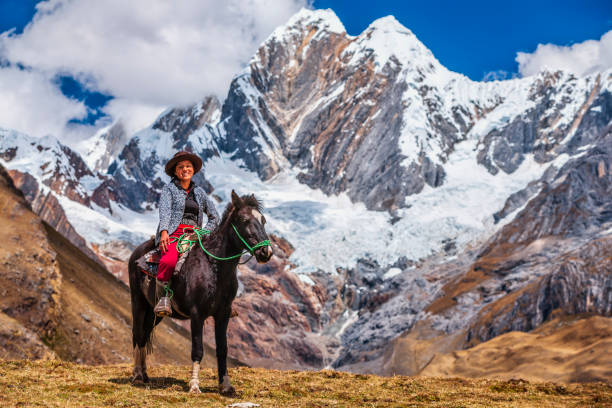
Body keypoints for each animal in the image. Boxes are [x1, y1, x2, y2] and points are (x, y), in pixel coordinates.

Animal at [127, 190, 272, 394]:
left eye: (263, 220)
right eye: (244, 219)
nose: (266, 252)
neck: (215, 268)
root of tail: (136, 254)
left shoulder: (223, 314)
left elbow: (222, 349)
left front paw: (226, 386)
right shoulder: (197, 314)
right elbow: (197, 349)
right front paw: (194, 385)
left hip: (154, 312)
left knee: (145, 333)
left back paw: (145, 375)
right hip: (138, 302)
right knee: (138, 334)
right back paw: (137, 376)